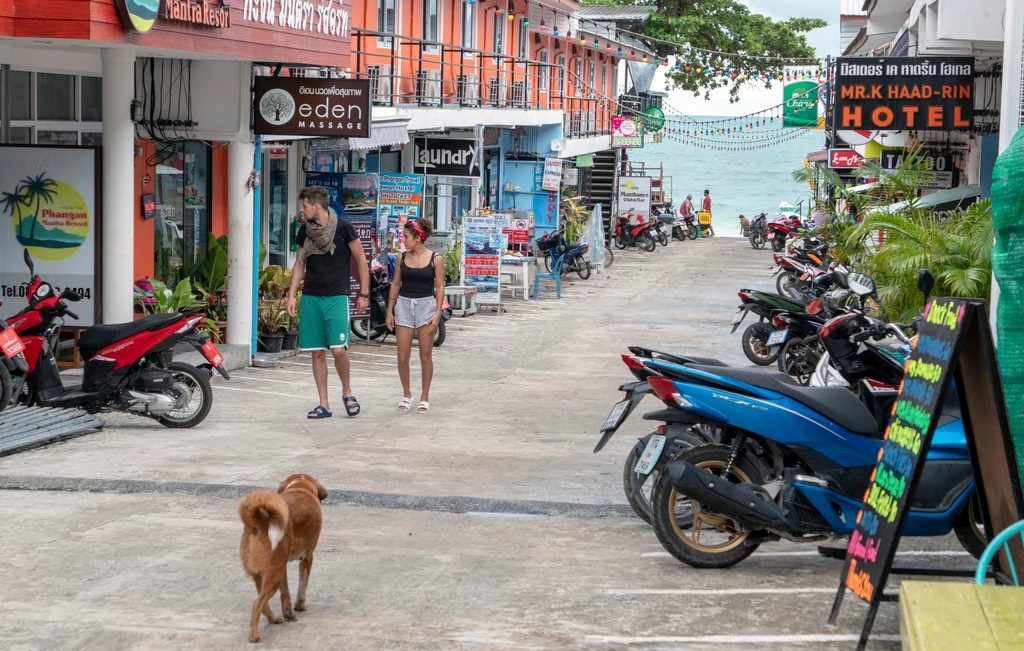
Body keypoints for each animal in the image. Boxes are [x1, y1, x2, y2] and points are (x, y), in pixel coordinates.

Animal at [237, 472, 325, 642]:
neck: (300, 486)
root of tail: (260, 519)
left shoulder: (282, 567)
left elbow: (285, 593)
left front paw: (289, 612)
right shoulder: (307, 557)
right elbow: (302, 585)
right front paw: (300, 606)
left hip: (264, 574)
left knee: (262, 603)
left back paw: (274, 619)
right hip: (273, 575)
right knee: (257, 603)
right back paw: (254, 636)